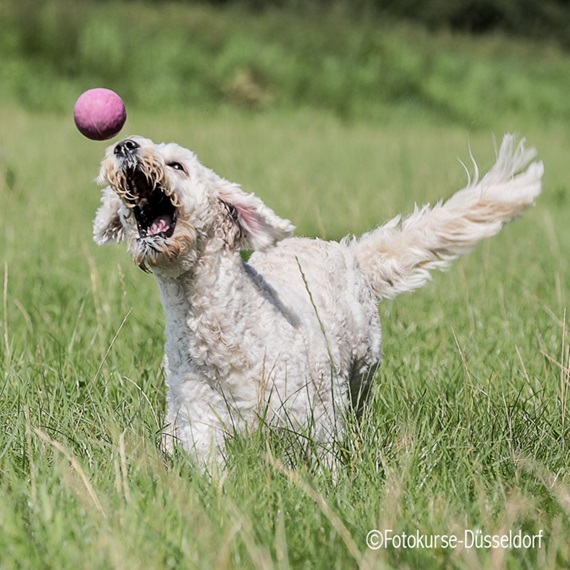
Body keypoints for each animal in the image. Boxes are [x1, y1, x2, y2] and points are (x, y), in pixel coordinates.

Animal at [93, 134, 540, 466]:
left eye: (177, 165)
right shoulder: (198, 421)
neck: (221, 330)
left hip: (363, 369)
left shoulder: (310, 420)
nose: (125, 145)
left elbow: (324, 464)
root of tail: (348, 250)